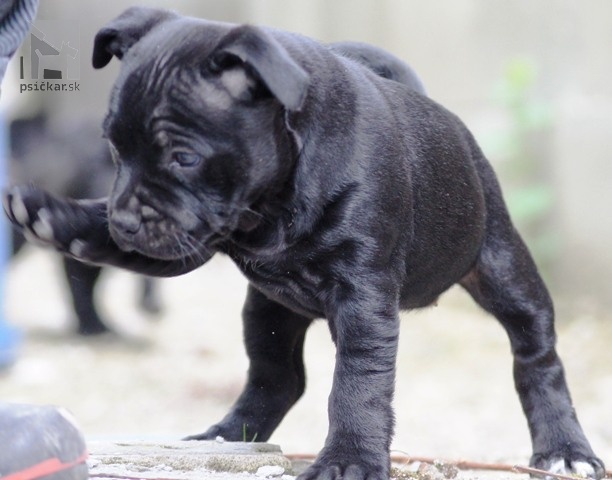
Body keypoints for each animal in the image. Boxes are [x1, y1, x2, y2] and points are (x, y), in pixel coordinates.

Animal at [2, 7, 604, 480]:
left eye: (184, 157)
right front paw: (56, 217)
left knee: (536, 358)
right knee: (280, 377)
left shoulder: (363, 298)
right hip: (267, 311)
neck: (270, 206)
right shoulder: (185, 237)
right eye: (114, 149)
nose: (126, 220)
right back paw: (228, 436)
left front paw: (349, 460)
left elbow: (357, 385)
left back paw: (564, 450)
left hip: (505, 270)